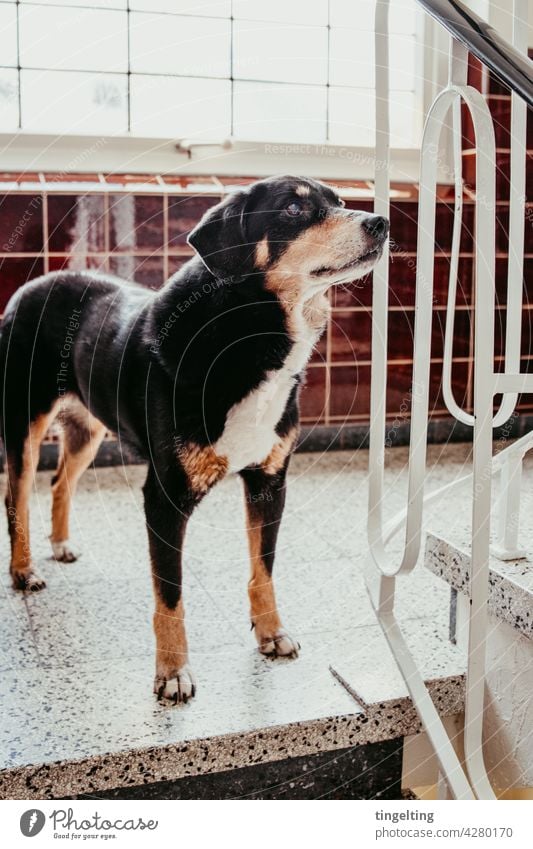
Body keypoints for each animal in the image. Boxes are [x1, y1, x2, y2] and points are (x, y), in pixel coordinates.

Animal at [2, 172, 388, 704]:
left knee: (61, 482)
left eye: (340, 200)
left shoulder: (270, 482)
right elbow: (170, 595)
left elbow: (263, 569)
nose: (382, 222)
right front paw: (172, 672)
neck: (250, 332)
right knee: (16, 494)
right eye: (293, 208)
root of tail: (32, 284)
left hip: (89, 428)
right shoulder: (164, 496)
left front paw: (271, 633)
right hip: (24, 422)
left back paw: (59, 545)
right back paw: (23, 570)